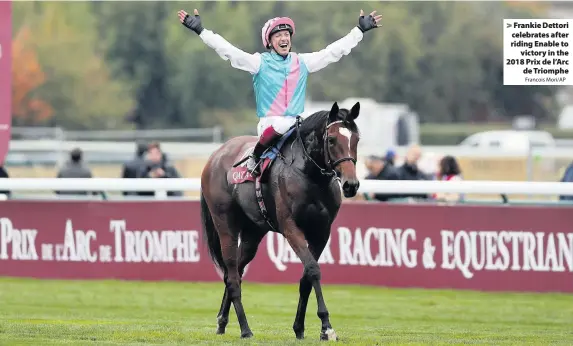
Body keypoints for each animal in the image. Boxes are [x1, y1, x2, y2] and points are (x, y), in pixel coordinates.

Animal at [201, 102, 360, 340]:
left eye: (356, 139)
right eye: (332, 139)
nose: (351, 185)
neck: (309, 175)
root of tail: (216, 155)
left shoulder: (322, 232)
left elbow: (306, 278)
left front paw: (300, 327)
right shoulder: (291, 228)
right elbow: (313, 269)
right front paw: (327, 327)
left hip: (253, 233)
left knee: (235, 271)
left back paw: (222, 320)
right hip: (225, 226)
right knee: (232, 276)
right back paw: (245, 329)